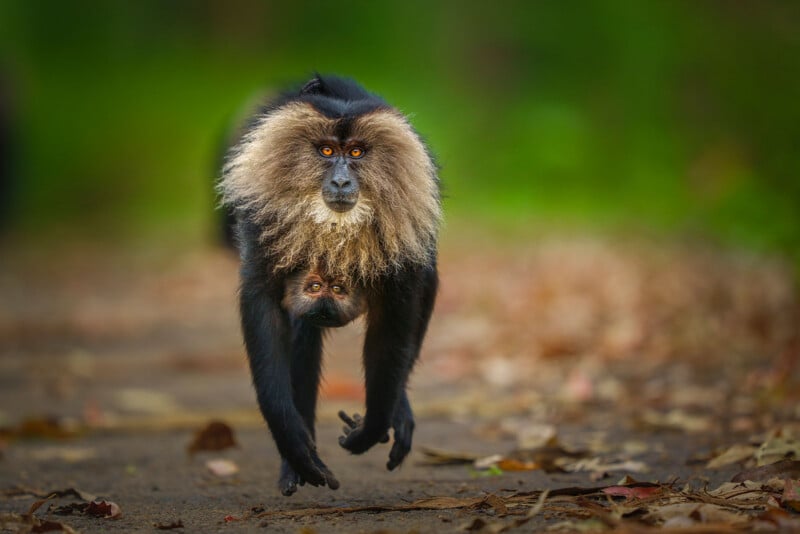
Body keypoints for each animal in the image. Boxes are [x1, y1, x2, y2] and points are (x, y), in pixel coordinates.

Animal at [219, 75, 440, 496]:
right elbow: (265, 308)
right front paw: (294, 445)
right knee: (302, 332)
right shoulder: (264, 222)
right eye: (326, 151)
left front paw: (373, 426)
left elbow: (393, 330)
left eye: (355, 152)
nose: (340, 180)